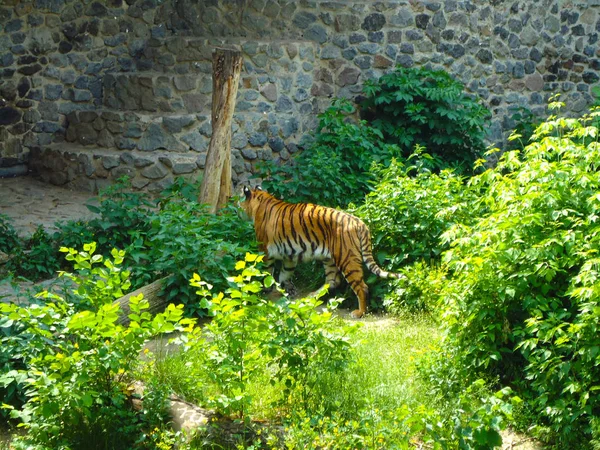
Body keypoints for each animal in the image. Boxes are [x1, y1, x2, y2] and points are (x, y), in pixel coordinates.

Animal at [240, 185, 404, 318]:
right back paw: (311, 296)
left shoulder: (265, 250)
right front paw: (288, 291)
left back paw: (359, 313)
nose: (236, 205)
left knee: (361, 287)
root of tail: (360, 223)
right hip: (330, 259)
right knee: (333, 281)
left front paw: (265, 290)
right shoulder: (289, 254)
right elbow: (285, 274)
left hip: (347, 258)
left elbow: (266, 272)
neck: (261, 199)